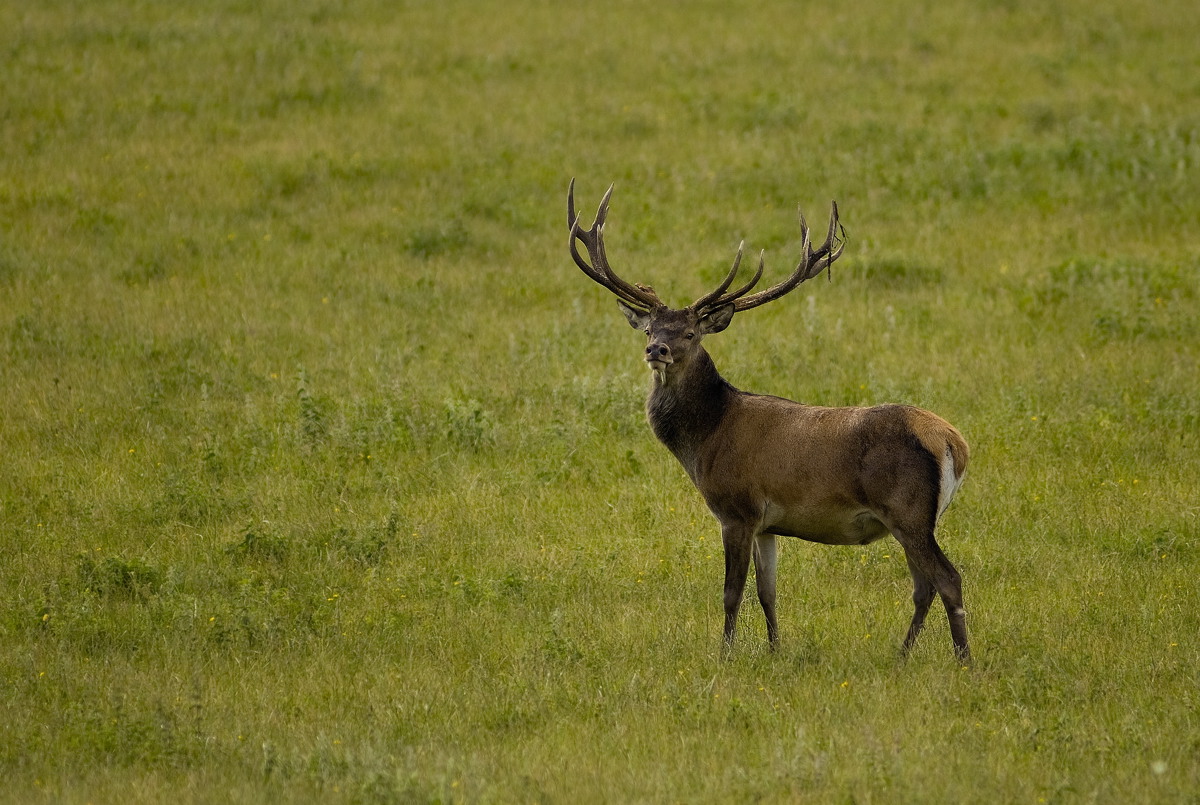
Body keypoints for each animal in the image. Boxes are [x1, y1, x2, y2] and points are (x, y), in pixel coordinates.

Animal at [567, 180, 971, 662]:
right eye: (649, 329)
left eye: (690, 333)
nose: (656, 350)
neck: (704, 440)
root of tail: (953, 442)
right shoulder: (768, 524)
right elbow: (768, 591)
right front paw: (776, 649)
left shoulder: (736, 508)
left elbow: (731, 592)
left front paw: (724, 653)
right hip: (912, 519)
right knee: (923, 586)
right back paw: (903, 655)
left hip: (907, 510)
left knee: (948, 579)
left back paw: (963, 660)